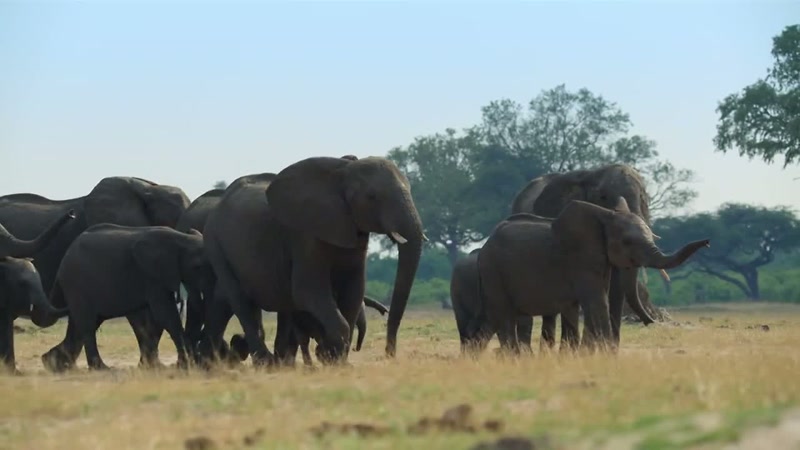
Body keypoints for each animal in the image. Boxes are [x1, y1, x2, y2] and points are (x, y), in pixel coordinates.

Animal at [40, 224, 210, 372]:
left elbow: (154, 321)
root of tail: (63, 262)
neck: (181, 239)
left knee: (82, 324)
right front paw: (184, 364)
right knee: (87, 326)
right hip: (77, 285)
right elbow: (164, 314)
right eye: (198, 267)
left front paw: (152, 366)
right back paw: (99, 368)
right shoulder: (152, 277)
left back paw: (55, 364)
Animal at [200, 156, 424, 366]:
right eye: (372, 196)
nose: (389, 354)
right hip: (215, 243)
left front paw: (336, 359)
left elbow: (354, 292)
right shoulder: (304, 236)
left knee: (231, 300)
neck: (342, 172)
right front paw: (332, 359)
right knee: (241, 302)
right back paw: (265, 364)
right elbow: (307, 290)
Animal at [478, 199, 710, 353]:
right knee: (504, 315)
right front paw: (604, 355)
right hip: (492, 270)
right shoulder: (581, 257)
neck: (605, 215)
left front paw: (587, 356)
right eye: (626, 242)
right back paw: (515, 357)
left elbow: (596, 299)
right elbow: (597, 300)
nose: (707, 242)